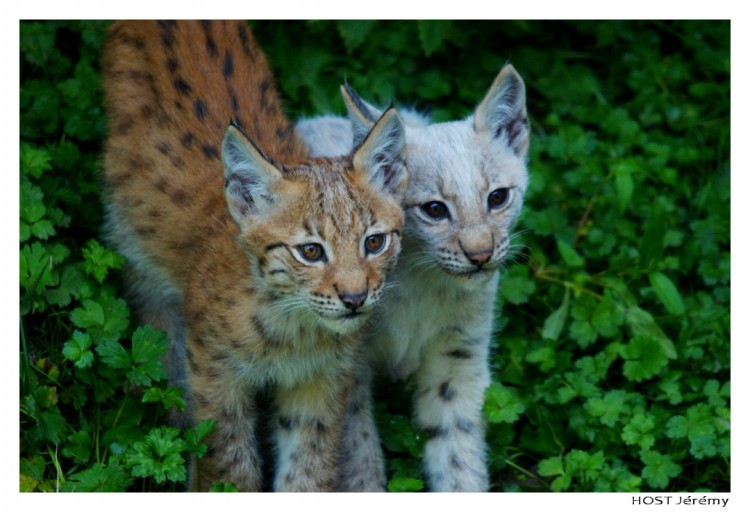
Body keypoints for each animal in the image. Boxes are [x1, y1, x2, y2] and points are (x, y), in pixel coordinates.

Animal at [100, 21, 408, 492]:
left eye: (374, 243)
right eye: (310, 251)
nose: (355, 299)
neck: (292, 326)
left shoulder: (320, 383)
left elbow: (308, 472)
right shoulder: (215, 376)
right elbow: (229, 469)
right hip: (139, 258)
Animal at [296, 65, 532, 492]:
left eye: (498, 198)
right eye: (434, 210)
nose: (480, 255)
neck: (422, 278)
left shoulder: (459, 359)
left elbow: (457, 454)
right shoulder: (346, 371)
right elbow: (359, 454)